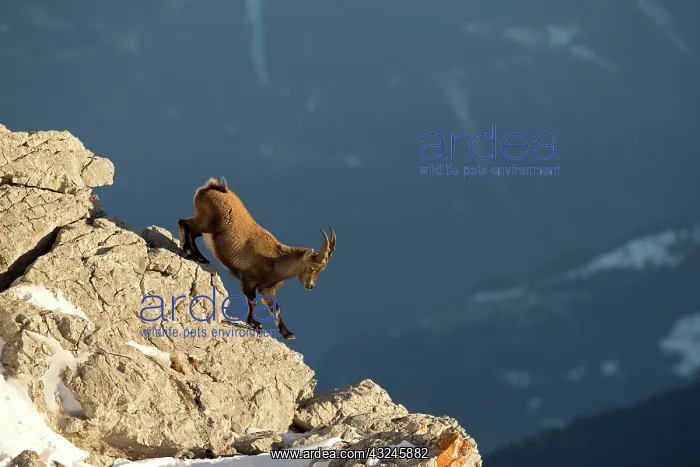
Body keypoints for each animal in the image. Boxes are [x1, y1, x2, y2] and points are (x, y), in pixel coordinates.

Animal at [177, 177, 336, 340]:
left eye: (321, 270)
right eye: (312, 267)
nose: (310, 286)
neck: (276, 260)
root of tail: (213, 187)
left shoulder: (267, 288)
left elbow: (275, 308)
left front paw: (287, 333)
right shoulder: (249, 279)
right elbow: (252, 301)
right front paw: (255, 324)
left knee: (189, 228)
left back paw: (198, 255)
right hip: (206, 223)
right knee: (184, 223)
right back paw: (193, 253)